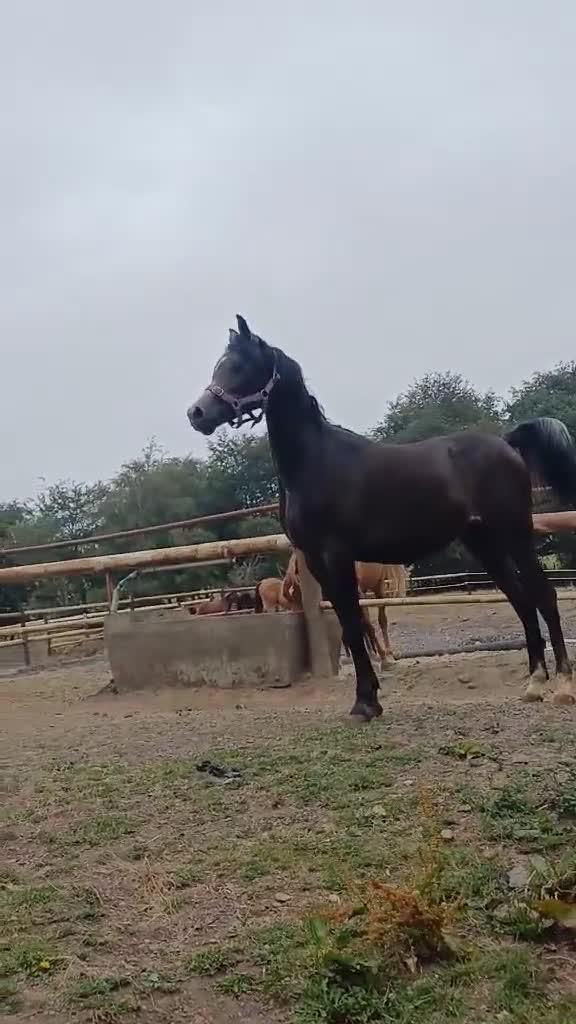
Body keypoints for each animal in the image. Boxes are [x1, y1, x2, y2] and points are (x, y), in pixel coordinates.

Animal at [189, 315, 576, 721]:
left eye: (240, 365)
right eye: (221, 364)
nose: (196, 414)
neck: (314, 463)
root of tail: (506, 443)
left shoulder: (337, 555)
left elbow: (354, 624)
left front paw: (365, 702)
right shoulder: (316, 560)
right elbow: (350, 624)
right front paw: (367, 699)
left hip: (515, 534)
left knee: (544, 595)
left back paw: (563, 686)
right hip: (485, 544)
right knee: (522, 601)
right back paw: (534, 683)